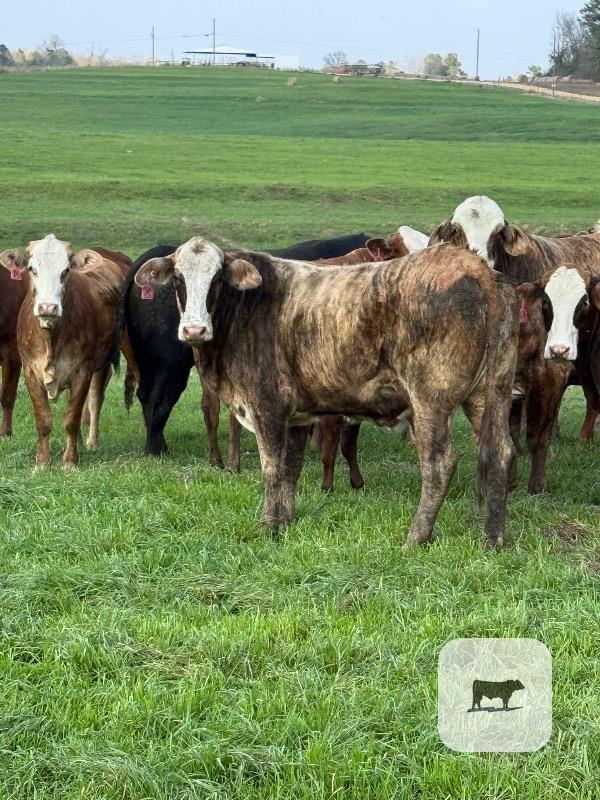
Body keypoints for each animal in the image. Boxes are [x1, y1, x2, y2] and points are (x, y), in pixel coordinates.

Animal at [14, 235, 123, 468]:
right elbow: (43, 419)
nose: (47, 307)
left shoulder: (83, 370)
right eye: (31, 269)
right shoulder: (29, 370)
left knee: (94, 401)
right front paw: (42, 462)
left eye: (65, 271)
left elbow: (72, 418)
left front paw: (70, 462)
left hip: (102, 363)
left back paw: (91, 442)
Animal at [121, 233, 372, 460]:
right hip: (169, 365)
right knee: (159, 400)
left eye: (218, 279)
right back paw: (155, 450)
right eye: (177, 278)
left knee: (148, 396)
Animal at [513, 266, 600, 492]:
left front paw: (536, 488)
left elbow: (537, 436)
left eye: (585, 302)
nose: (559, 350)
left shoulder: (549, 381)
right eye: (545, 301)